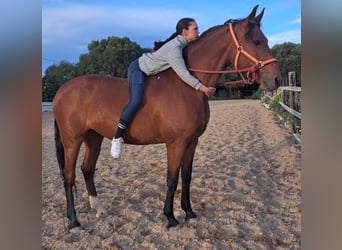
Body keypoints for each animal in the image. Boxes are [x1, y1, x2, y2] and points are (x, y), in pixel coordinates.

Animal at [51, 4, 280, 230]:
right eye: (257, 41)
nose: (275, 79)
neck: (187, 86)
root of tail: (62, 90)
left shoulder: (192, 142)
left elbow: (186, 176)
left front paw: (189, 212)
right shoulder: (175, 143)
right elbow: (172, 178)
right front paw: (170, 217)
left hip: (93, 137)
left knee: (87, 170)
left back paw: (98, 208)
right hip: (72, 140)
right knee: (69, 176)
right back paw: (73, 220)